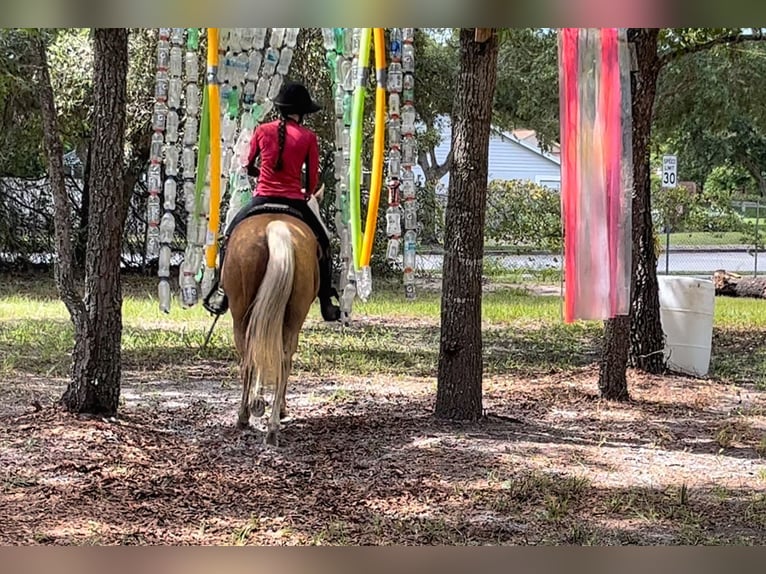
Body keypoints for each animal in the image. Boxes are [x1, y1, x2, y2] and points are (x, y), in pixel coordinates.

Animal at [222, 187, 330, 448]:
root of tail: (275, 227)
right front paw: (268, 405)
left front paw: (259, 402)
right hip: (289, 320)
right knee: (279, 359)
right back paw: (269, 424)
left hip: (242, 317)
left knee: (251, 359)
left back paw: (248, 418)